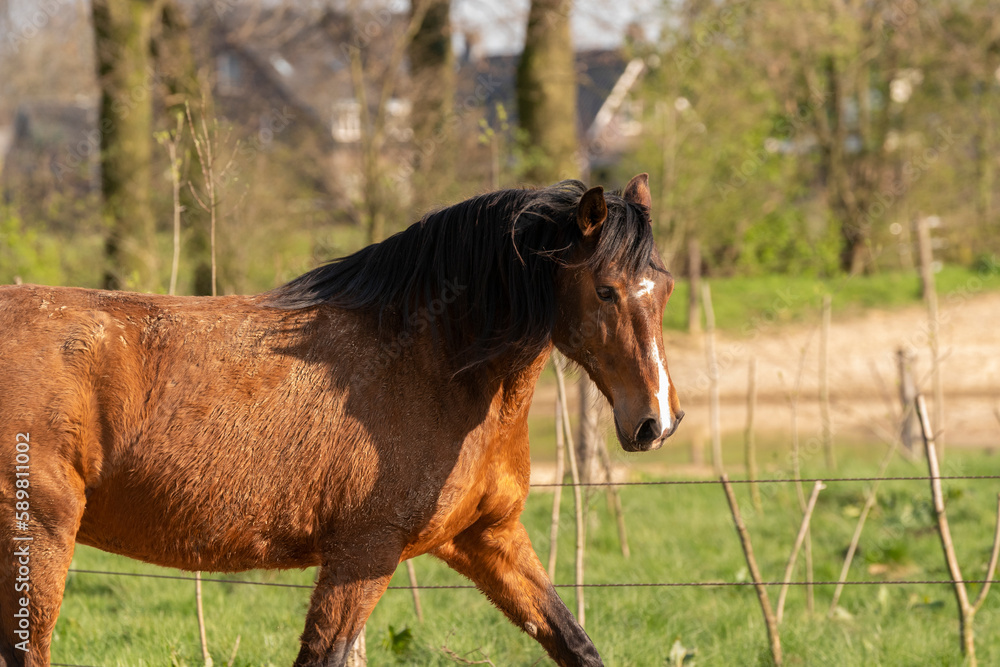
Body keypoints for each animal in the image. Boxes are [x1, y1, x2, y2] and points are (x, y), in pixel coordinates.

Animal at [0, 174, 683, 667]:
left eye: (666, 287)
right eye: (604, 290)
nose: (657, 421)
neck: (431, 361)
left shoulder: (487, 539)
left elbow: (576, 643)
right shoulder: (363, 553)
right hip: (39, 535)